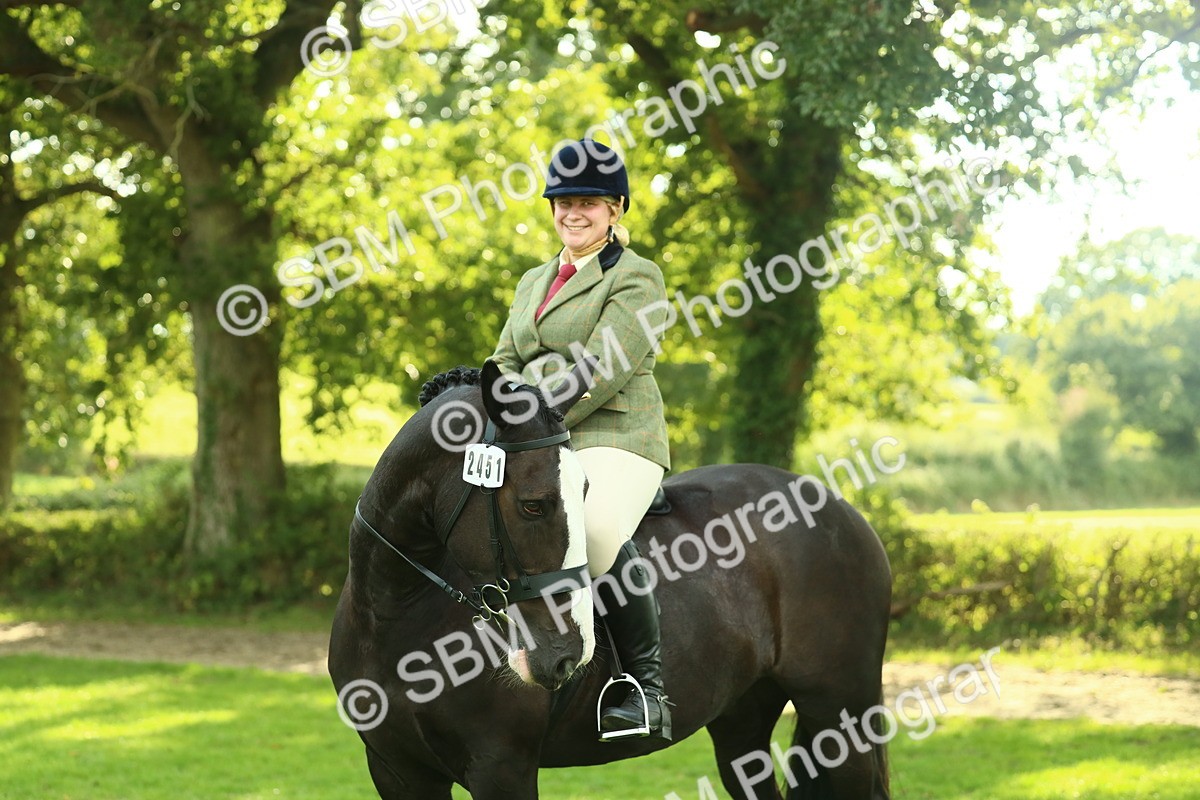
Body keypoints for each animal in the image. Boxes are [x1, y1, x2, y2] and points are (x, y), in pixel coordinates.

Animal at [328, 360, 893, 799]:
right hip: (743, 719)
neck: (394, 610)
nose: (565, 657)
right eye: (533, 504)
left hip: (841, 715)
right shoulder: (396, 771)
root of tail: (841, 507)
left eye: (584, 491)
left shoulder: (501, 767)